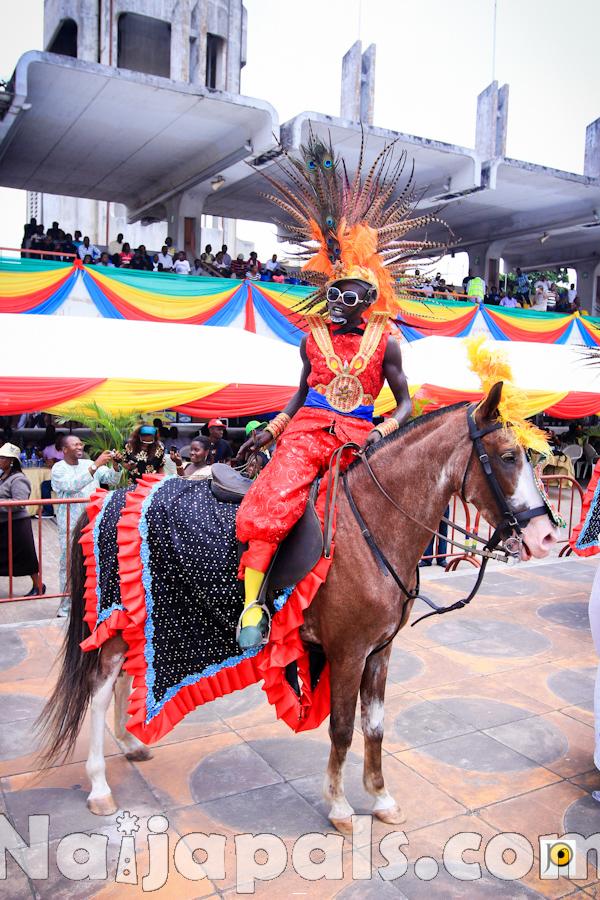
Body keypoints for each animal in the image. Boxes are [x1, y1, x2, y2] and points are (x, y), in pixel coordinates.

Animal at [39, 386, 560, 836]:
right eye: (508, 456)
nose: (546, 537)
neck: (371, 526)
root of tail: (110, 495)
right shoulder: (348, 652)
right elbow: (343, 729)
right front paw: (341, 806)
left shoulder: (380, 652)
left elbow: (375, 726)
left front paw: (381, 797)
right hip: (118, 615)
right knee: (100, 688)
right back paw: (100, 786)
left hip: (142, 615)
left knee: (126, 674)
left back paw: (130, 745)